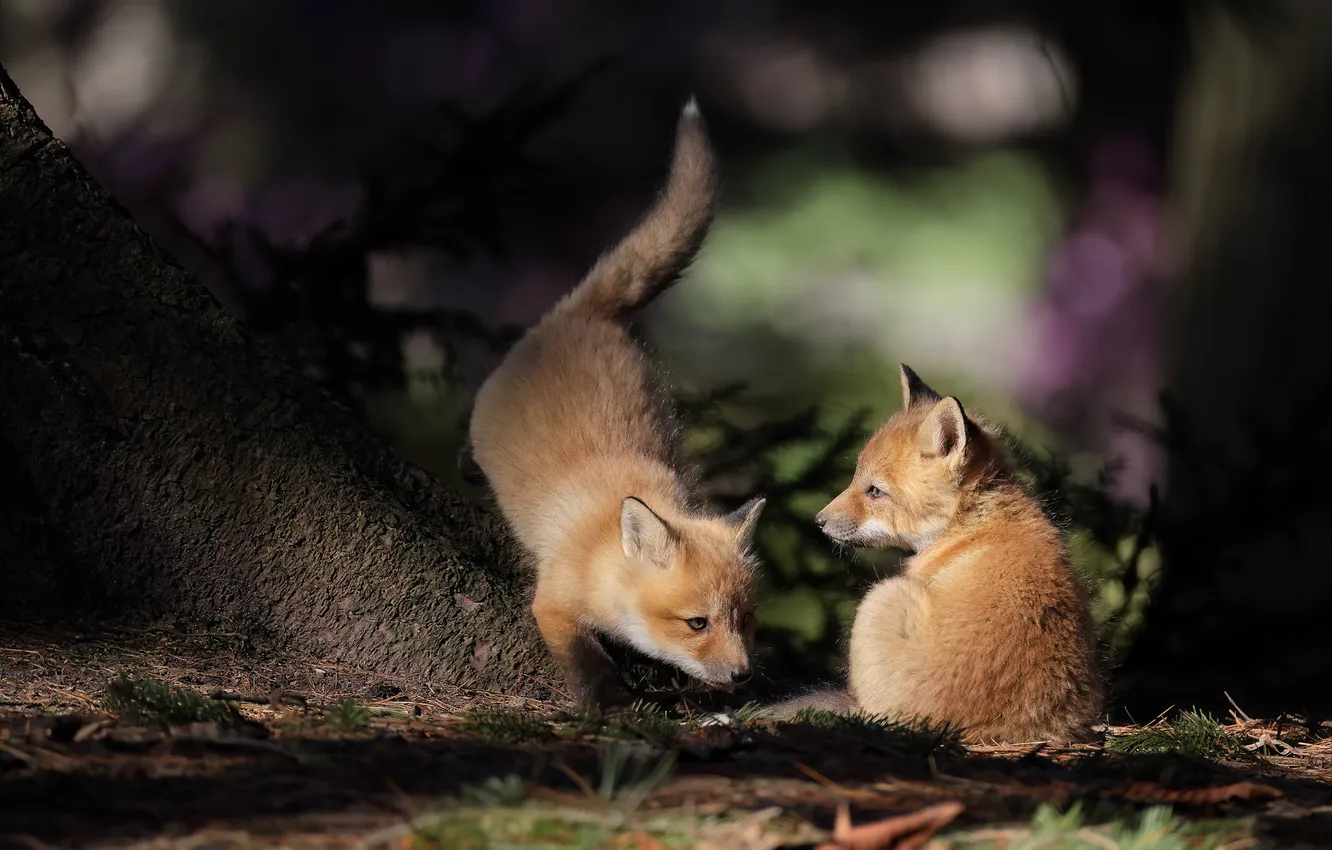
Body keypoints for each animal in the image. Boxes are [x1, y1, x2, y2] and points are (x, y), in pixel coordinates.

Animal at [464, 98, 766, 710]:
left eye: (745, 619)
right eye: (697, 623)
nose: (744, 676)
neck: (602, 548)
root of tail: (582, 315)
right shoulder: (552, 601)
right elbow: (585, 658)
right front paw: (609, 704)